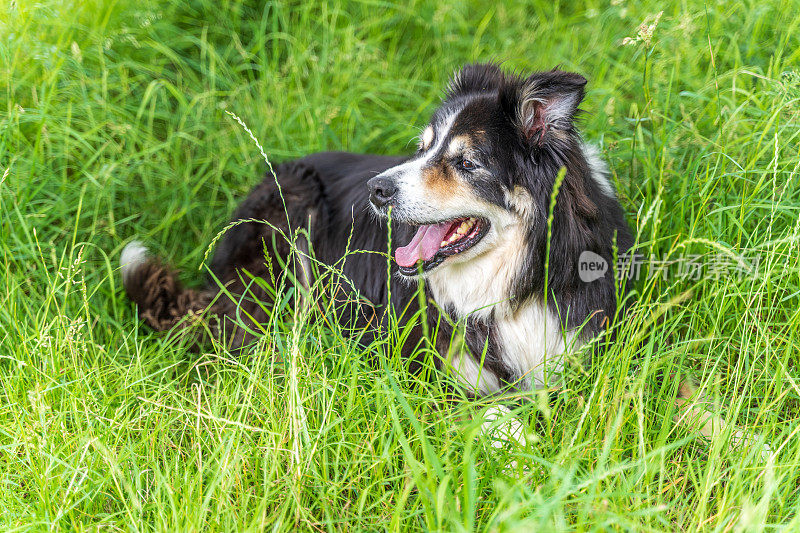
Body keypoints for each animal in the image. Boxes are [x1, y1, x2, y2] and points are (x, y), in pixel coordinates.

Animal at [120, 61, 768, 454]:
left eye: (466, 162)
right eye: (424, 148)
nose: (378, 190)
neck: (510, 286)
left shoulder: (598, 342)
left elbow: (682, 390)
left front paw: (749, 445)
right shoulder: (419, 364)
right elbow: (507, 418)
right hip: (294, 209)